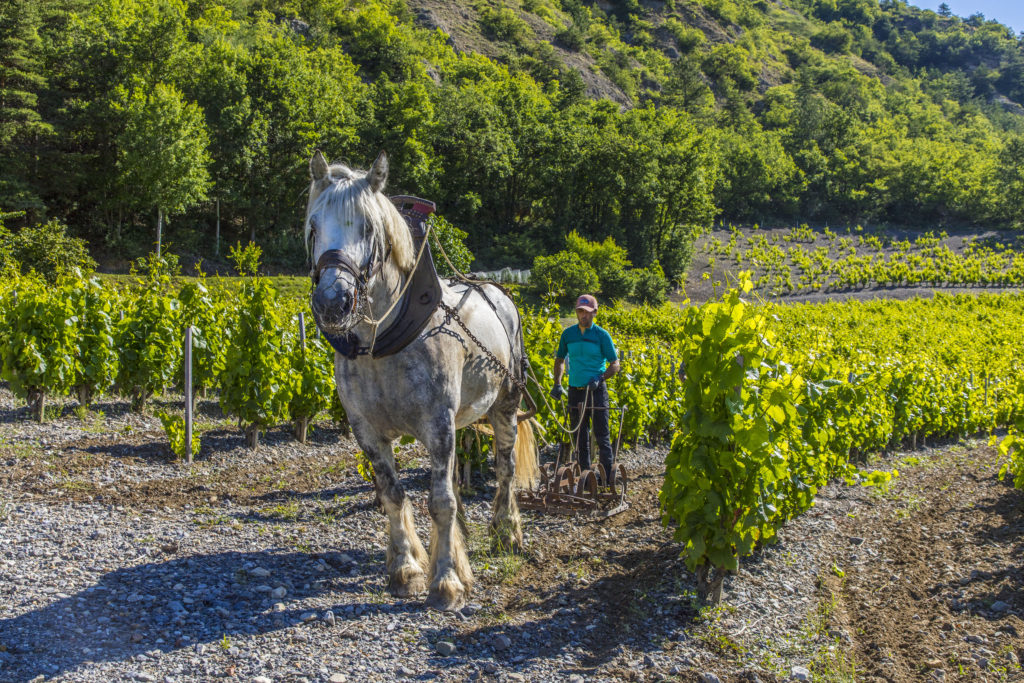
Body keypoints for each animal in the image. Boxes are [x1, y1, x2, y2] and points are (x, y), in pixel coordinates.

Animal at [305, 149, 536, 610]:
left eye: (368, 227)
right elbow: (394, 494)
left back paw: (506, 532)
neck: (383, 343)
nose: (332, 302)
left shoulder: (438, 424)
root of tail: (499, 293)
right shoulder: (367, 431)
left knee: (503, 469)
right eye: (314, 226)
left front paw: (446, 580)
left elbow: (441, 500)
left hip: (505, 404)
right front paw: (407, 568)